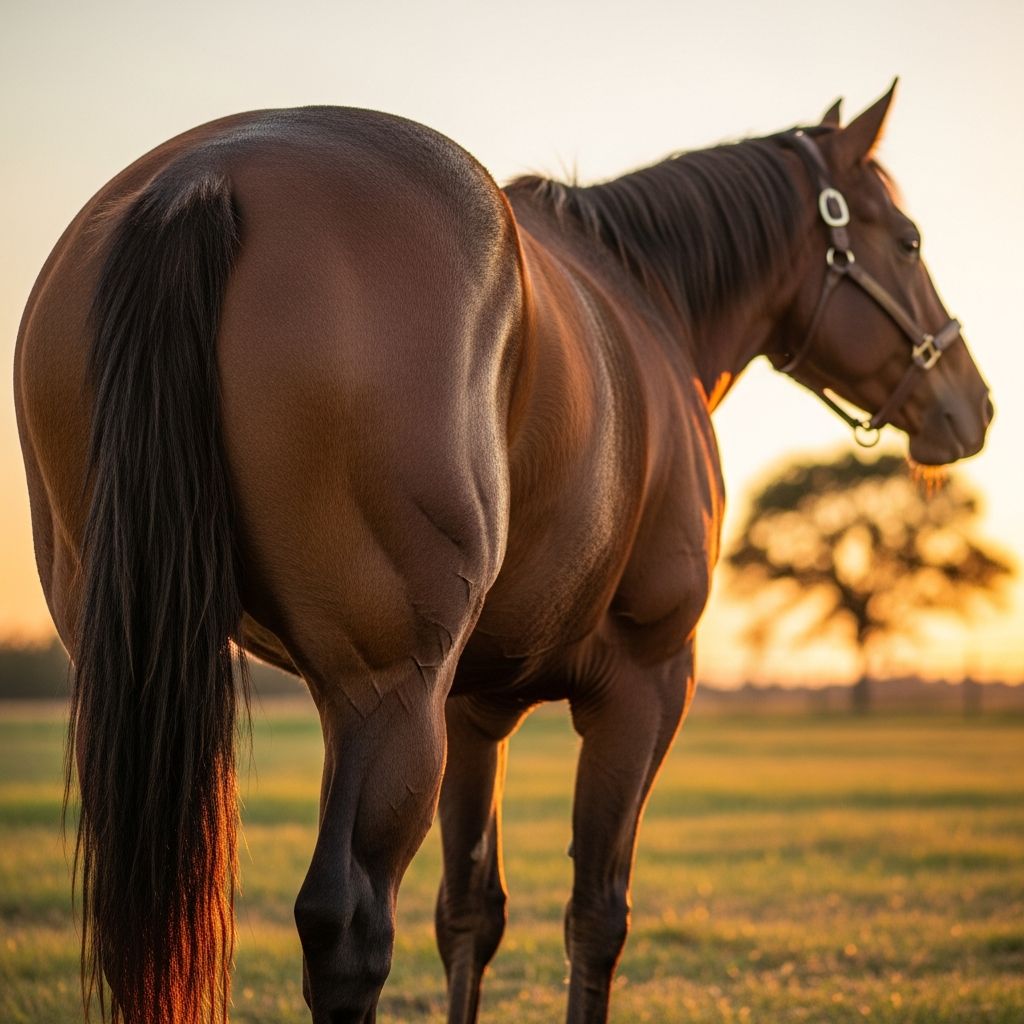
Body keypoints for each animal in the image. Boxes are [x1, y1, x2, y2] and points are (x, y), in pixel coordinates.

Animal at [14, 83, 992, 1023]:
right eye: (908, 240)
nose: (972, 404)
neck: (650, 301)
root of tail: (207, 176)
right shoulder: (644, 686)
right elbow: (596, 916)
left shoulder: (473, 709)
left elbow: (469, 916)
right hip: (386, 695)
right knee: (347, 927)